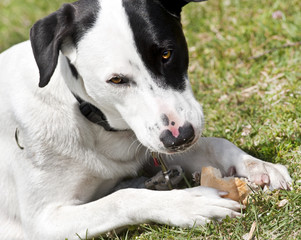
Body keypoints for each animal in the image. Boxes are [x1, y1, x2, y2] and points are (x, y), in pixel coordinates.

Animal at [0, 0, 290, 240]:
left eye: (166, 54)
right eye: (116, 80)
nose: (181, 136)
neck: (87, 117)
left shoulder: (155, 145)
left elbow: (215, 143)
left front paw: (257, 166)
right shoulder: (44, 222)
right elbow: (120, 200)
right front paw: (189, 202)